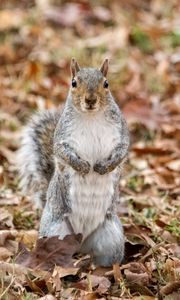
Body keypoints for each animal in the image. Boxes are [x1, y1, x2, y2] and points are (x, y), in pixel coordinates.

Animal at [17, 59, 129, 268]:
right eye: (74, 83)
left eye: (106, 83)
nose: (90, 100)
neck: (91, 117)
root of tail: (81, 240)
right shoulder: (62, 138)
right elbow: (63, 153)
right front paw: (83, 166)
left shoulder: (122, 135)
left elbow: (122, 152)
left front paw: (103, 167)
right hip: (54, 233)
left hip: (111, 238)